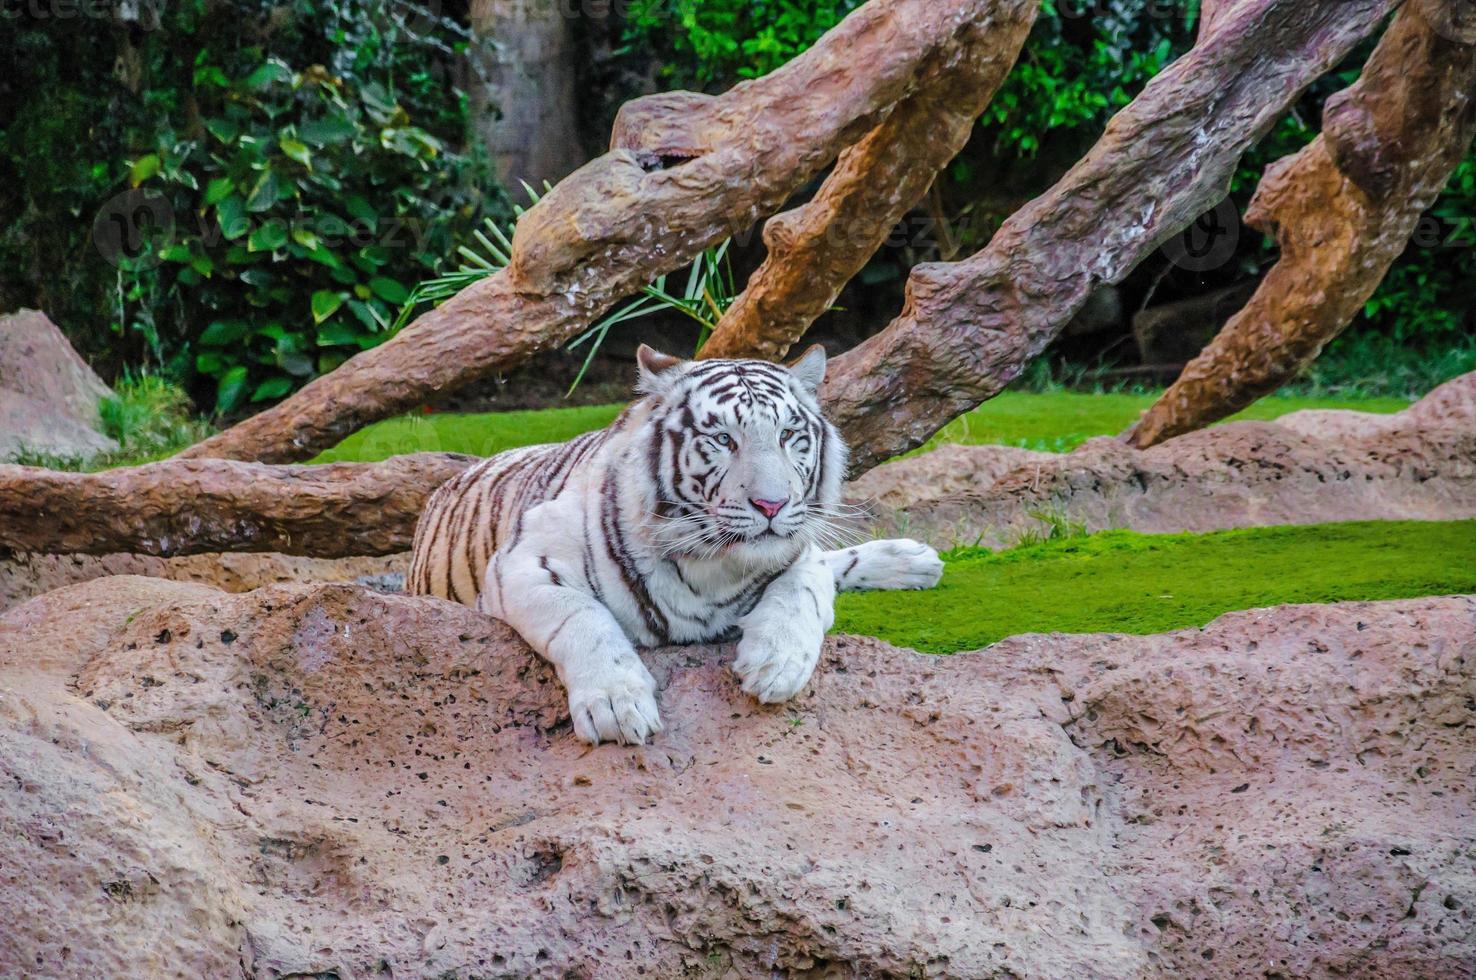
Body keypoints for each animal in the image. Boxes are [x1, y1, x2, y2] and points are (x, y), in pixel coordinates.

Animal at [410, 343, 938, 743]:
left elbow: (803, 588)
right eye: (723, 439)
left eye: (789, 435)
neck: (712, 567)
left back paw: (916, 560)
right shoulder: (524, 563)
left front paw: (776, 664)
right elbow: (582, 617)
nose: (772, 504)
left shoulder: (798, 550)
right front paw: (616, 704)